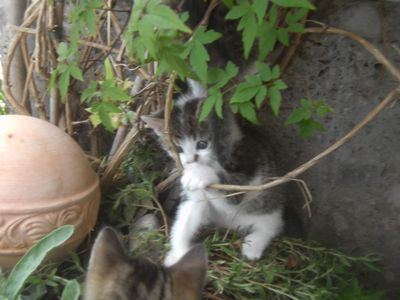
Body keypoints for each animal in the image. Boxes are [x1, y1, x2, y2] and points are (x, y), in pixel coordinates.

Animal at [141, 80, 284, 268]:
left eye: (202, 144)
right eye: (178, 149)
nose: (190, 161)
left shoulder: (246, 166)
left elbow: (232, 192)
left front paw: (201, 174)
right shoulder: (194, 197)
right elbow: (186, 217)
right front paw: (179, 253)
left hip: (267, 204)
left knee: (272, 224)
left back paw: (254, 244)